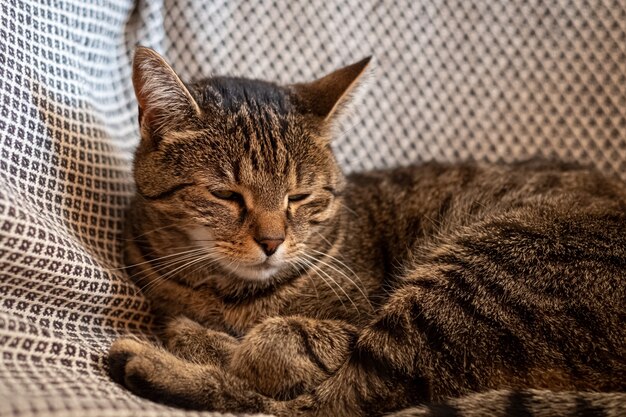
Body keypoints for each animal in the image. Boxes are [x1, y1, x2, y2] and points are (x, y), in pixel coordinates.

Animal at [108, 47, 624, 414]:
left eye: (299, 197)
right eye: (226, 195)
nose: (272, 242)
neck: (227, 292)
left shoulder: (347, 325)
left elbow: (280, 345)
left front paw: (203, 337)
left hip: (473, 279)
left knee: (325, 404)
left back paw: (151, 364)